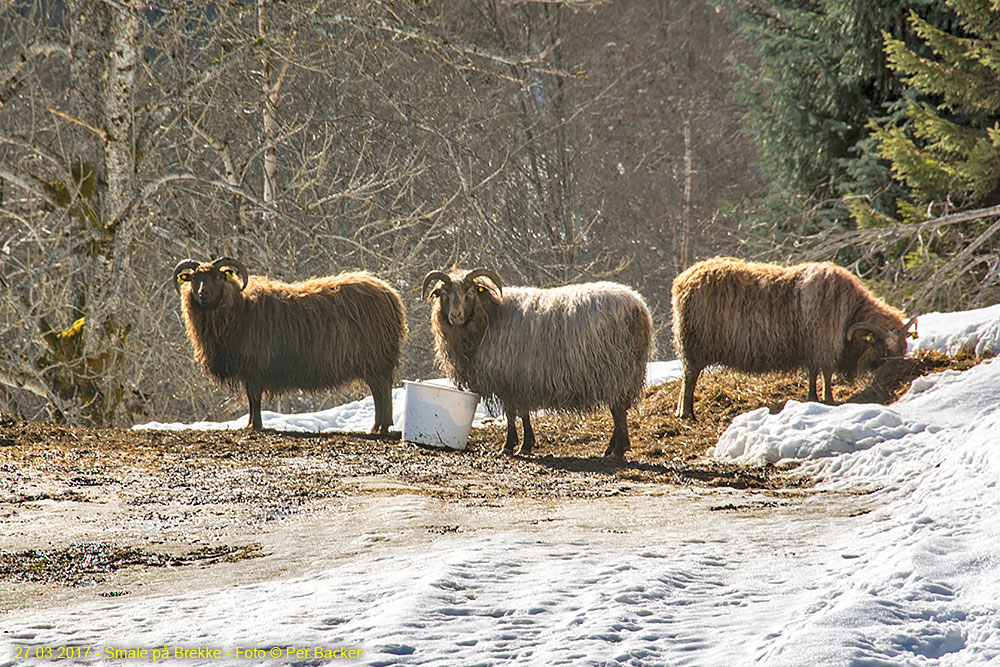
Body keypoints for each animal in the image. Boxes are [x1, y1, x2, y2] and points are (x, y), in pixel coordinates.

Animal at [175, 256, 406, 434]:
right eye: (195, 279)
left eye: (217, 277)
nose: (202, 293)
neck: (239, 309)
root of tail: (390, 294)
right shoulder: (250, 370)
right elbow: (251, 399)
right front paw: (251, 425)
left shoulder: (254, 366)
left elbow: (254, 397)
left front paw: (255, 426)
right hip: (374, 361)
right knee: (378, 392)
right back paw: (377, 427)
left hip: (377, 359)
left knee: (382, 391)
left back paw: (382, 427)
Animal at [424, 266, 652, 460]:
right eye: (444, 294)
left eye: (470, 292)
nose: (455, 315)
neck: (489, 318)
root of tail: (638, 308)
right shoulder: (521, 379)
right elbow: (523, 413)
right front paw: (526, 445)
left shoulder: (508, 378)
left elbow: (512, 414)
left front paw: (509, 446)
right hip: (628, 372)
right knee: (620, 409)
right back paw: (611, 449)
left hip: (615, 369)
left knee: (618, 409)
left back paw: (618, 451)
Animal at [672, 256, 916, 418]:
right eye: (884, 349)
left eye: (901, 348)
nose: (897, 369)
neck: (852, 311)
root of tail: (683, 280)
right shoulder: (824, 343)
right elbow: (826, 372)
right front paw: (828, 400)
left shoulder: (814, 346)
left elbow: (813, 372)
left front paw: (812, 398)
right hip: (694, 344)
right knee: (690, 377)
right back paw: (686, 413)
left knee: (688, 377)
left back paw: (682, 411)